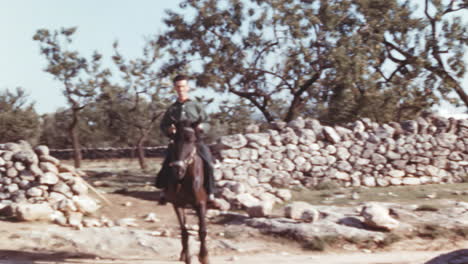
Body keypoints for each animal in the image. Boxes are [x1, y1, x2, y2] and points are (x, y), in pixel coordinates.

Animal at [165, 121, 208, 264]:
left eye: (192, 140)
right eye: (173, 140)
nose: (178, 170)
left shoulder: (201, 203)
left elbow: (202, 231)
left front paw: (204, 256)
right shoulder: (177, 205)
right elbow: (184, 232)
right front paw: (188, 257)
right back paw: (183, 254)